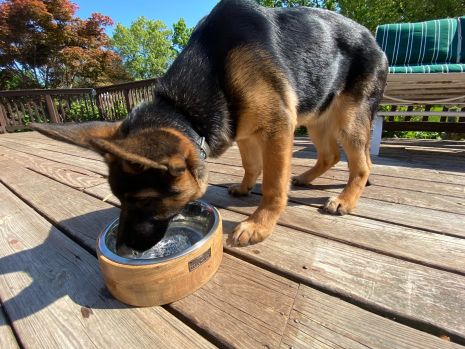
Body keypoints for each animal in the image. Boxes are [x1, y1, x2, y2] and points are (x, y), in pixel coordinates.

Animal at [33, 0, 388, 251]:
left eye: (144, 201)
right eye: (120, 200)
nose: (121, 249)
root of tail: (374, 40)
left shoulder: (277, 128)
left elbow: (273, 185)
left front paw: (260, 224)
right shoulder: (245, 131)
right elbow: (250, 164)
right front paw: (245, 186)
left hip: (347, 119)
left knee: (362, 164)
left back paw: (345, 199)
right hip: (317, 114)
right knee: (330, 155)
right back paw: (305, 177)